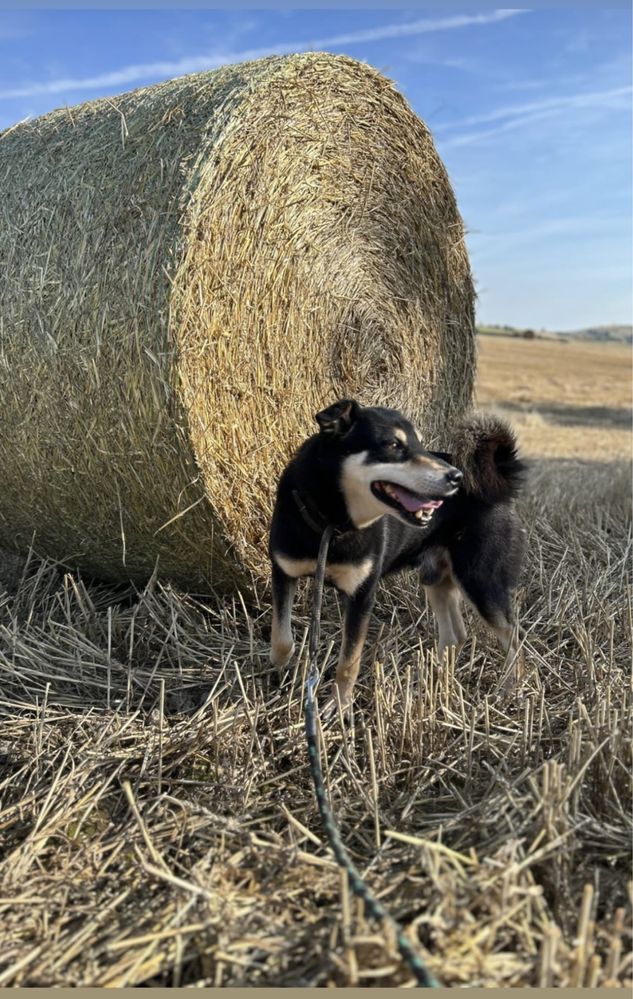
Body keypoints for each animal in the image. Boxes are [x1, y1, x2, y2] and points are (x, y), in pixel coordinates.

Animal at [266, 400, 524, 712]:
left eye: (420, 444)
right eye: (392, 444)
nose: (456, 477)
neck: (332, 521)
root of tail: (496, 480)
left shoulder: (362, 595)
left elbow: (348, 663)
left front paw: (339, 707)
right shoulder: (283, 573)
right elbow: (281, 639)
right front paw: (280, 676)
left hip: (481, 581)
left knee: (514, 640)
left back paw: (509, 692)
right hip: (437, 580)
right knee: (456, 635)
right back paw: (432, 681)